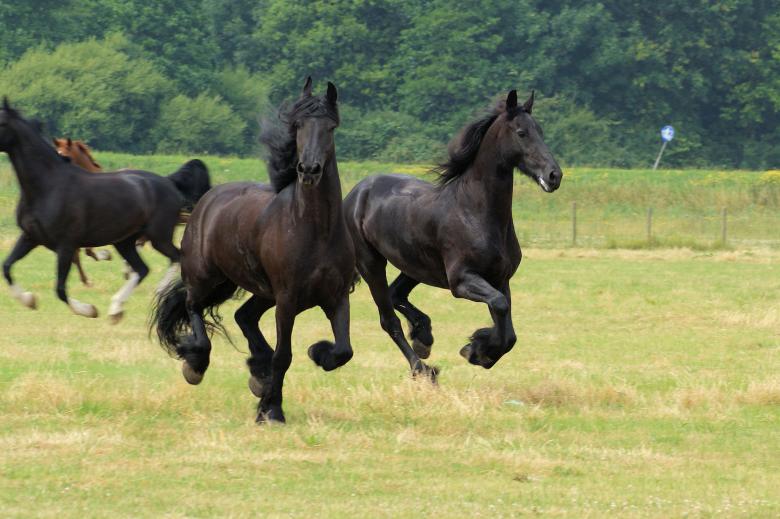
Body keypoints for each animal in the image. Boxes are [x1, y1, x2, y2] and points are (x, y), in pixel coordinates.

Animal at [0, 98, 212, 322]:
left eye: (1, 123)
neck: (48, 186)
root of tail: (168, 181)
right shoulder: (30, 237)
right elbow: (7, 267)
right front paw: (29, 300)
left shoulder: (66, 244)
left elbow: (60, 289)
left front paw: (88, 309)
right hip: (124, 241)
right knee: (143, 269)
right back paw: (116, 308)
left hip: (158, 236)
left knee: (175, 257)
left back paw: (161, 292)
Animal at [152, 78, 356, 424]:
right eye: (298, 126)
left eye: (330, 127)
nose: (309, 170)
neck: (315, 230)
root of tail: (209, 197)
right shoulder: (287, 301)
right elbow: (284, 356)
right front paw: (272, 411)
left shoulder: (337, 297)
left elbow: (343, 351)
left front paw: (318, 353)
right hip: (207, 277)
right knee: (193, 306)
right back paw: (196, 363)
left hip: (260, 290)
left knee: (243, 315)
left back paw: (258, 374)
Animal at [343, 90, 562, 378]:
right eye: (522, 132)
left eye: (541, 131)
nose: (554, 175)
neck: (475, 212)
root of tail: (356, 193)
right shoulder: (462, 281)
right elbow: (500, 306)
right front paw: (476, 349)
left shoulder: (500, 279)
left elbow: (508, 331)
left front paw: (479, 351)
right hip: (372, 265)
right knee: (388, 319)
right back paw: (422, 368)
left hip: (415, 266)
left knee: (395, 294)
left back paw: (423, 336)